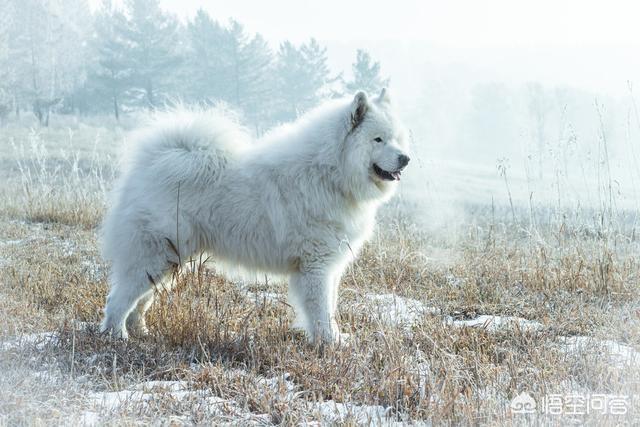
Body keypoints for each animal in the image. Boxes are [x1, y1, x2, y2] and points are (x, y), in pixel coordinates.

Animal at [100, 89, 410, 344]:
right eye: (378, 139)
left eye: (397, 139)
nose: (405, 158)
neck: (331, 172)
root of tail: (152, 163)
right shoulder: (316, 265)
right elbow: (321, 310)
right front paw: (330, 343)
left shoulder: (330, 266)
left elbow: (330, 306)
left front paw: (335, 339)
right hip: (155, 256)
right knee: (119, 299)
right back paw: (117, 336)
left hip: (169, 261)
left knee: (140, 300)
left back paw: (140, 331)